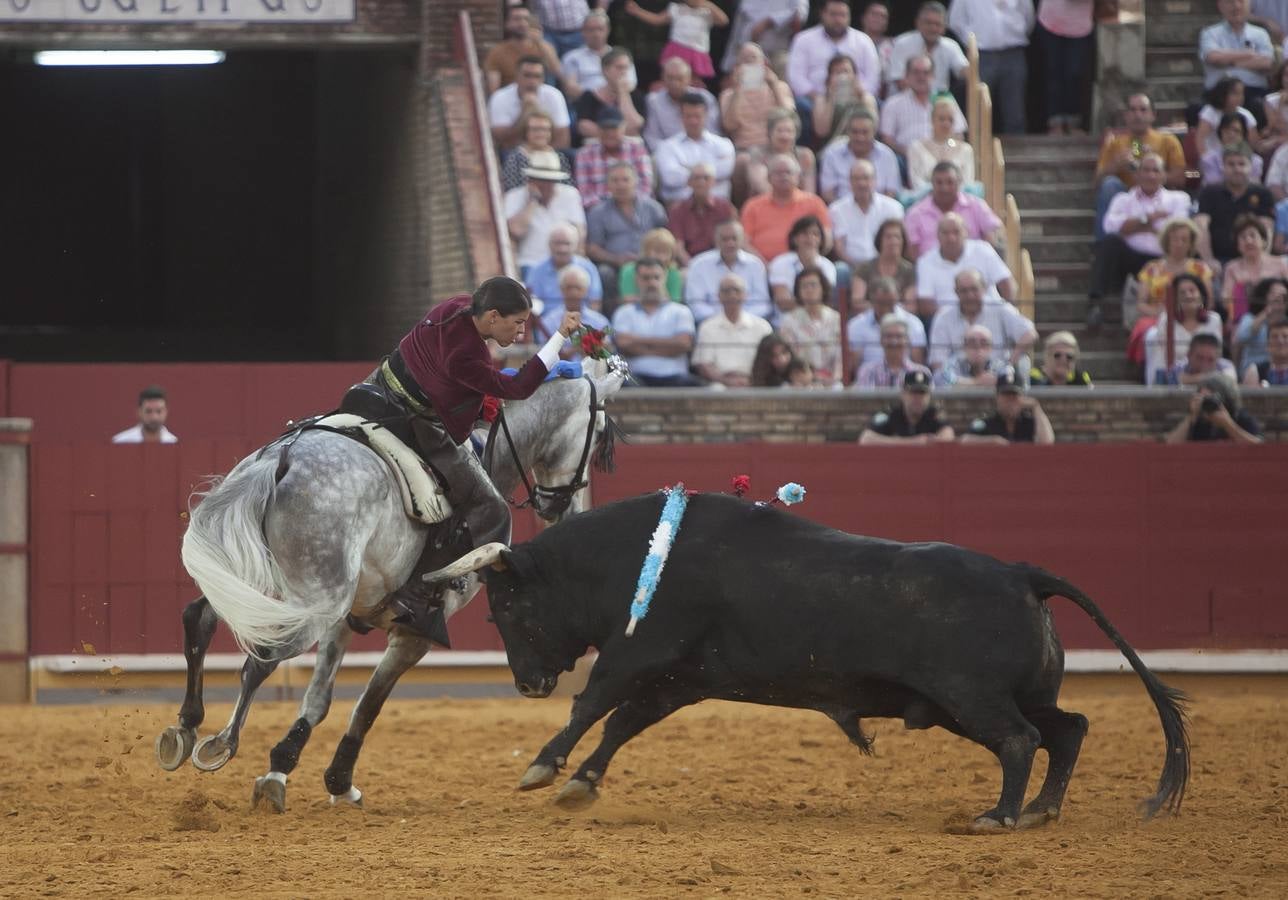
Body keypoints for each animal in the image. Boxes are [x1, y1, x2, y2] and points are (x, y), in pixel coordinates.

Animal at [153, 363, 625, 813]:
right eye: (599, 432)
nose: (568, 509)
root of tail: (284, 458)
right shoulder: (415, 632)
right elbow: (369, 705)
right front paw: (338, 781)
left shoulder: (346, 619)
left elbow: (319, 699)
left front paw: (280, 771)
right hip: (315, 598)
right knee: (264, 656)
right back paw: (221, 742)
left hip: (258, 581)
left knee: (200, 618)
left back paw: (184, 729)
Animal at [450, 491, 1184, 829]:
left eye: (503, 609)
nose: (527, 683)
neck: (638, 556)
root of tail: (1021, 573)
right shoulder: (680, 679)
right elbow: (624, 723)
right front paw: (581, 783)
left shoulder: (640, 652)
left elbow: (594, 704)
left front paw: (542, 768)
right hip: (995, 698)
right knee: (1067, 729)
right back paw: (1040, 811)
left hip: (970, 697)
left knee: (1021, 739)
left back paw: (999, 816)